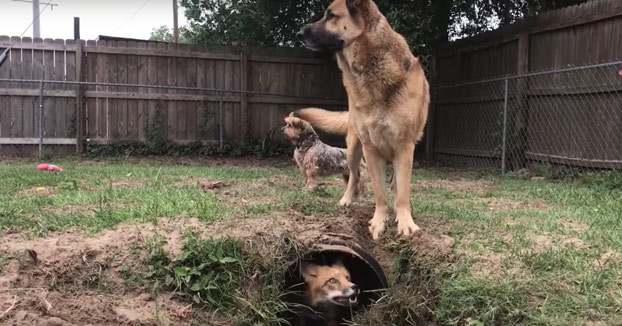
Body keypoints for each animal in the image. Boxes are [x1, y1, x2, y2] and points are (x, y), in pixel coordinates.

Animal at [298, 0, 428, 239]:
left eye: (331, 15)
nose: (299, 33)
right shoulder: (371, 148)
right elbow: (379, 192)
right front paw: (379, 221)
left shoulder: (404, 147)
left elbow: (402, 191)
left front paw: (405, 221)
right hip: (353, 150)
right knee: (353, 177)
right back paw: (347, 200)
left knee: (393, 184)